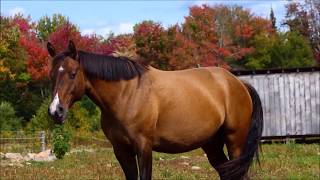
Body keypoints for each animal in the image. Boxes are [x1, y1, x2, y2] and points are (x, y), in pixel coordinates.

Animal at [47, 40, 262, 180]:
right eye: (51, 75)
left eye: (73, 74)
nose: (55, 111)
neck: (127, 93)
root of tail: (238, 83)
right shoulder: (121, 150)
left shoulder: (144, 147)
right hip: (212, 145)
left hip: (235, 141)